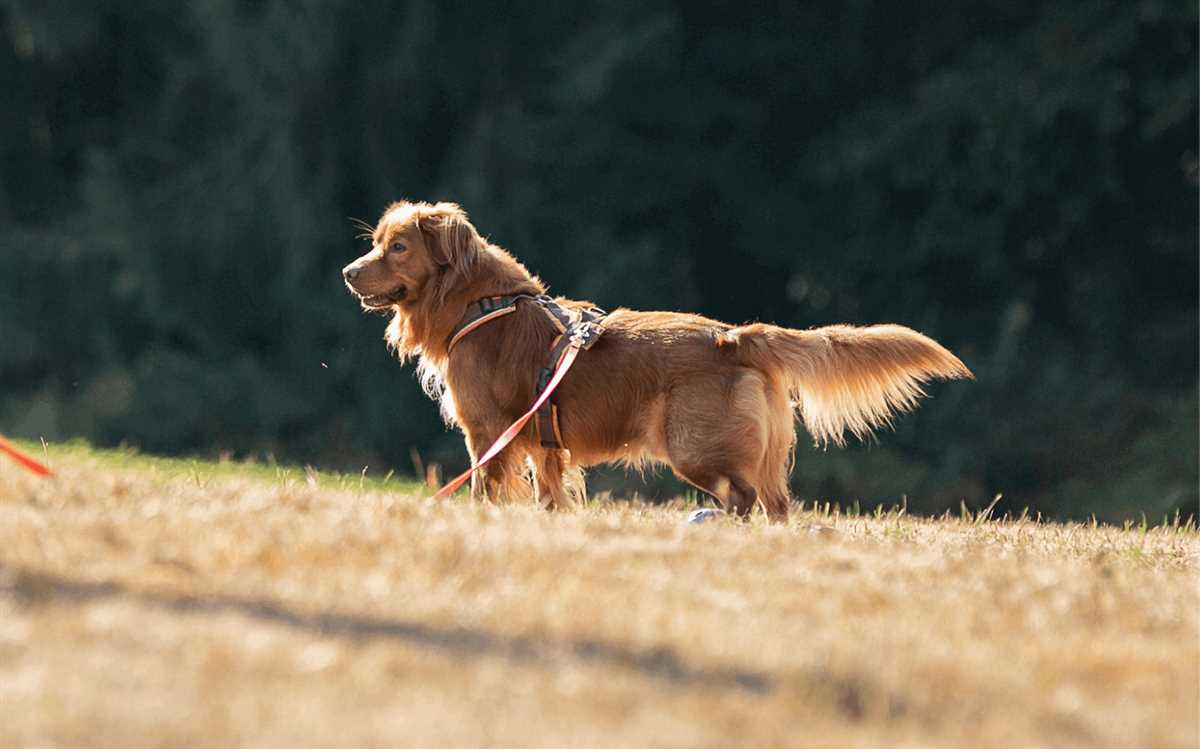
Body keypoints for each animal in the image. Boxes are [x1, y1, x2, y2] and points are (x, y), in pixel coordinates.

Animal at [343, 201, 969, 523]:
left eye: (397, 248)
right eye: (375, 243)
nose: (348, 273)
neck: (482, 301)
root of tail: (731, 336)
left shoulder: (488, 432)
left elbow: (481, 485)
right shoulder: (546, 442)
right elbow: (551, 492)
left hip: (694, 448)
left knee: (740, 498)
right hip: (758, 455)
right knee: (775, 504)